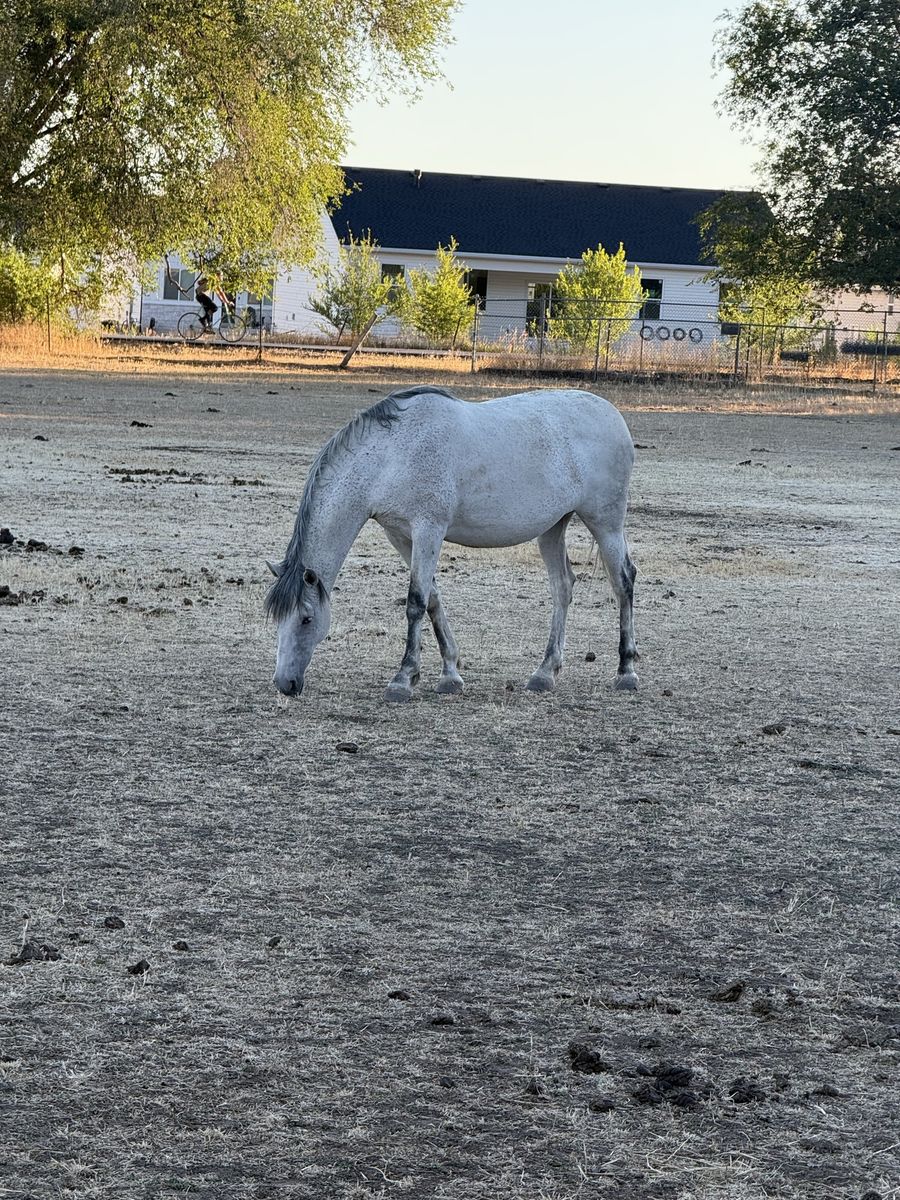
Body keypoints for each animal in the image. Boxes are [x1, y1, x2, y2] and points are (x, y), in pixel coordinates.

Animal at [266, 385, 638, 702]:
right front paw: (449, 675)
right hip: (552, 528)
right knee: (563, 587)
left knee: (623, 582)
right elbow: (433, 599)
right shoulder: (400, 535)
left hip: (605, 523)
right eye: (276, 619)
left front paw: (403, 679)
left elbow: (416, 602)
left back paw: (626, 672)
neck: (392, 454)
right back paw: (545, 673)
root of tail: (612, 414)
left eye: (306, 619)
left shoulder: (428, 529)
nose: (285, 684)